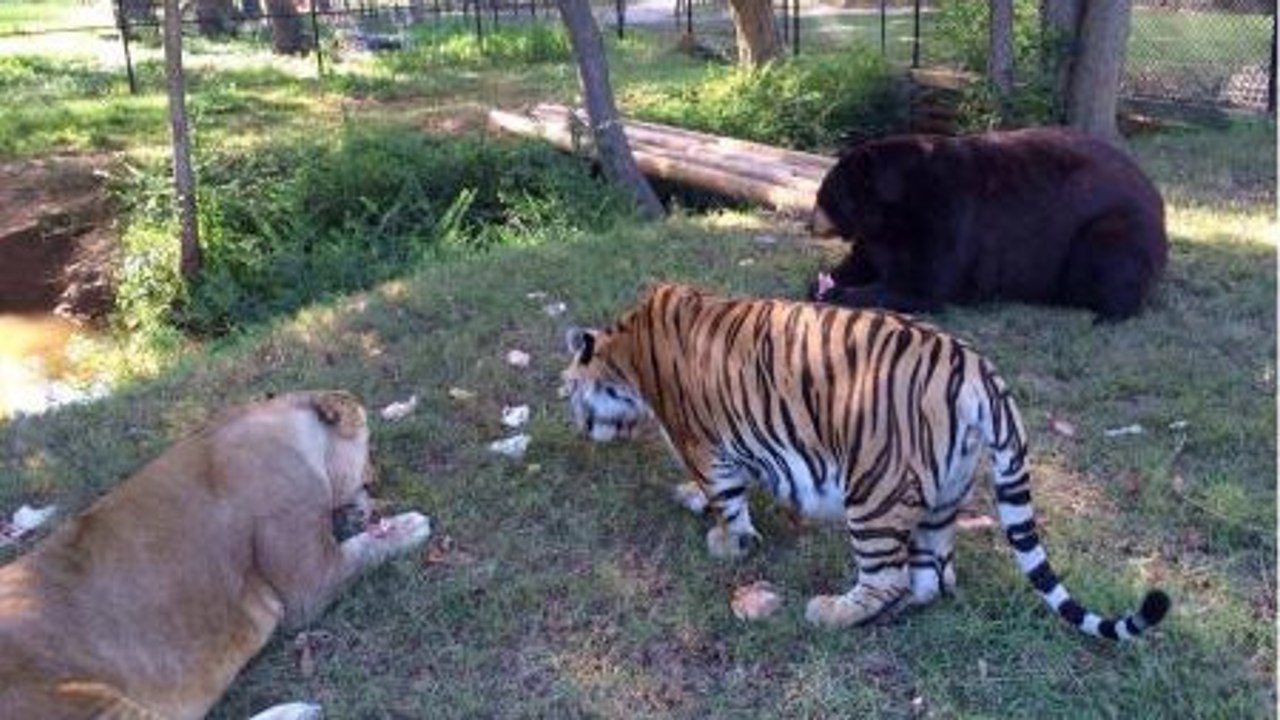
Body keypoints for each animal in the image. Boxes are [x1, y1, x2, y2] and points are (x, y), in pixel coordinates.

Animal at [0, 390, 433, 719]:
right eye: (369, 446)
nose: (378, 474)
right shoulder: (309, 584)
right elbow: (365, 551)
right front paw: (409, 526)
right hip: (75, 700)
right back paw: (298, 710)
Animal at [560, 282, 1170, 639]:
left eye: (567, 391)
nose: (578, 427)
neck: (629, 356)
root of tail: (980, 371)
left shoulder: (704, 445)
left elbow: (729, 504)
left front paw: (727, 542)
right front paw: (694, 502)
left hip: (874, 492)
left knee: (888, 577)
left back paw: (829, 612)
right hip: (941, 498)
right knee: (931, 580)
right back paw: (890, 612)